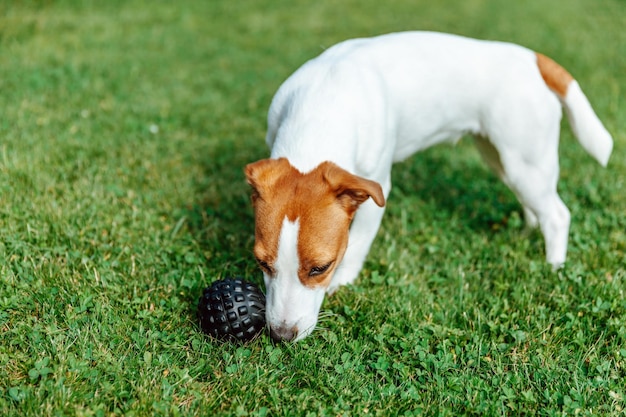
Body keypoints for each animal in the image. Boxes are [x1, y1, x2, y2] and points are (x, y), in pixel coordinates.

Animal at [243, 30, 608, 340]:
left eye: (321, 268)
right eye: (262, 263)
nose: (281, 335)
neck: (323, 105)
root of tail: (533, 59)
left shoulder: (377, 189)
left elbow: (357, 243)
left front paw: (343, 282)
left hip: (525, 161)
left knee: (557, 214)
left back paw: (553, 266)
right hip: (503, 160)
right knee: (536, 206)